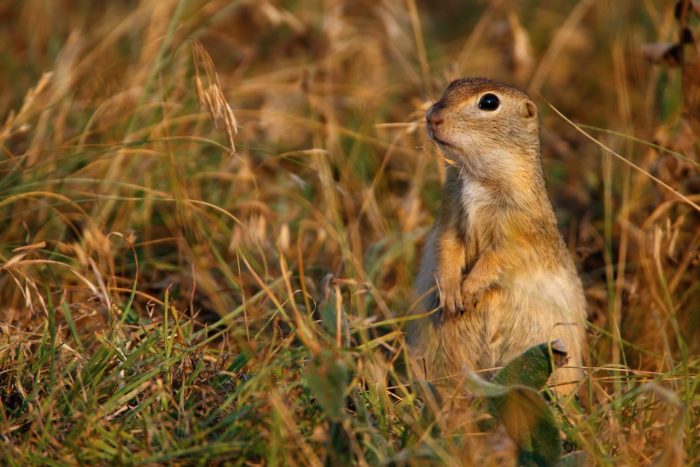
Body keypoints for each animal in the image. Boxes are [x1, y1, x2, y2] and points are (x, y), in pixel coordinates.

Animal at [408, 77, 588, 394]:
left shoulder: (519, 228)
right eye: (450, 86)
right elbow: (447, 246)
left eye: (489, 102)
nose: (431, 116)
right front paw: (451, 292)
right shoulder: (449, 214)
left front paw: (468, 290)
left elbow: (499, 256)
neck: (478, 176)